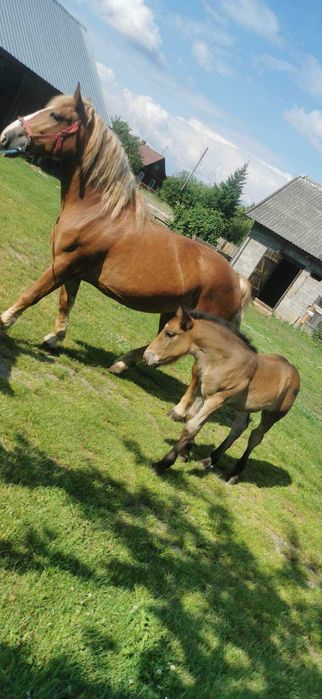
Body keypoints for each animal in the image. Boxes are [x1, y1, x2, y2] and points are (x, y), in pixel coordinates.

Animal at [0, 85, 249, 418]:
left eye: (56, 116)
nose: (7, 135)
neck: (98, 212)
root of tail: (237, 282)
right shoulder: (73, 271)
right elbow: (66, 303)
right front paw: (54, 339)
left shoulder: (64, 264)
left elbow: (32, 294)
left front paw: (4, 322)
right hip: (172, 312)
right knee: (162, 341)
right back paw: (122, 362)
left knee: (197, 369)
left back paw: (180, 409)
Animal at [143, 308, 300, 484]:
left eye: (170, 333)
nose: (146, 357)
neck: (225, 360)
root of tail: (294, 373)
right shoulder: (203, 393)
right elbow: (191, 417)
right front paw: (185, 452)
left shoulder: (216, 400)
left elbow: (191, 426)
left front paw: (162, 464)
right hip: (244, 406)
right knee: (238, 428)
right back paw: (210, 460)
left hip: (272, 415)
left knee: (256, 437)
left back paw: (234, 474)